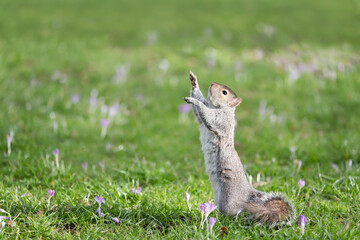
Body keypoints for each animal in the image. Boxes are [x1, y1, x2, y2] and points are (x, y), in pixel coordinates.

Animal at [184, 71, 294, 227]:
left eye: (224, 92)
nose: (212, 83)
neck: (219, 108)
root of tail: (245, 199)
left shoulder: (221, 120)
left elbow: (207, 116)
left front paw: (195, 101)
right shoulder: (203, 117)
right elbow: (199, 113)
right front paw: (194, 83)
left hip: (228, 198)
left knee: (232, 213)